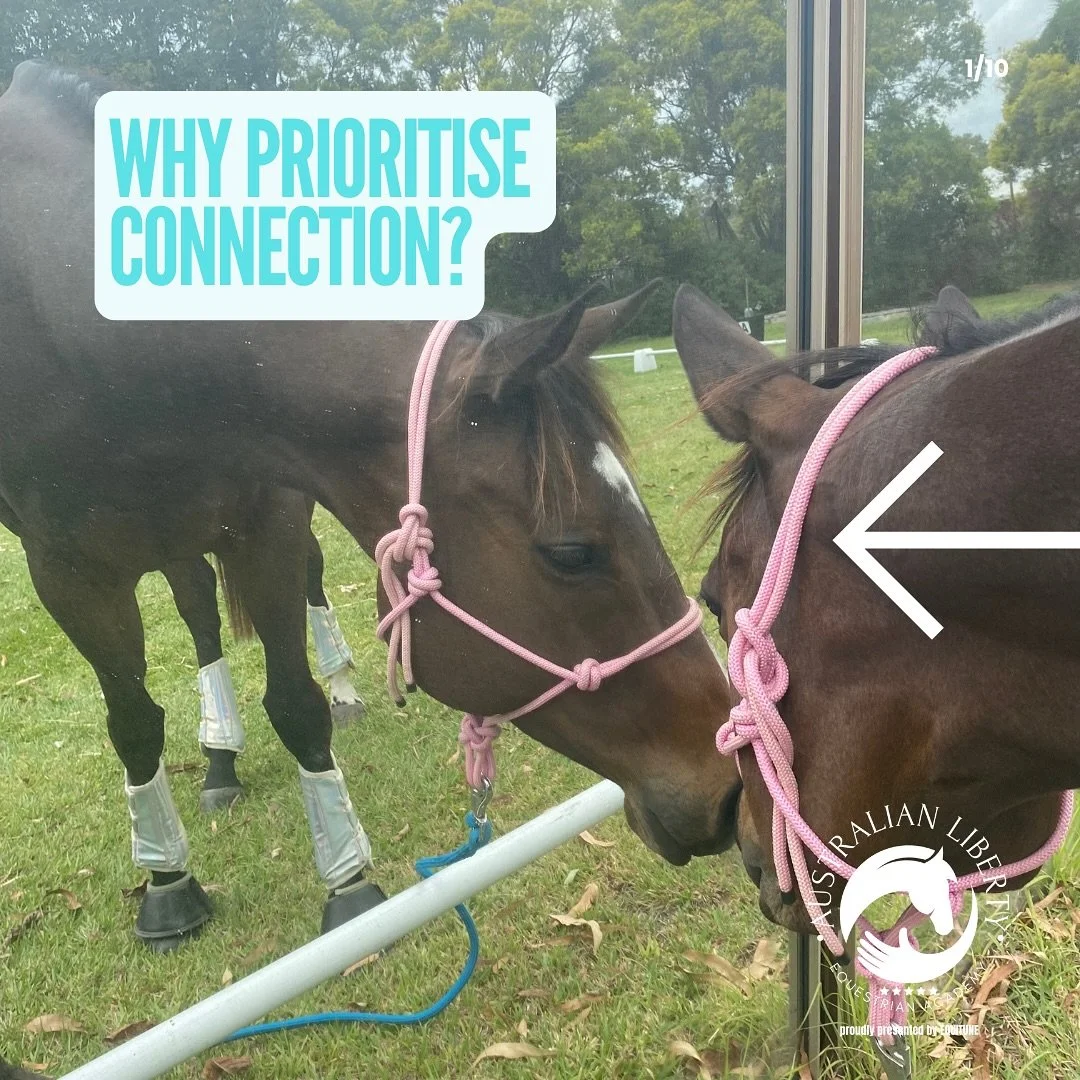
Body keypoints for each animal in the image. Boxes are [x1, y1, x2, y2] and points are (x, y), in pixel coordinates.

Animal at [0, 62, 739, 953]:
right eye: (571, 551)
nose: (731, 785)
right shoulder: (65, 572)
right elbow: (134, 723)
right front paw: (168, 883)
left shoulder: (268, 518)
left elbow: (297, 703)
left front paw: (348, 884)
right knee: (201, 619)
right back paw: (218, 758)